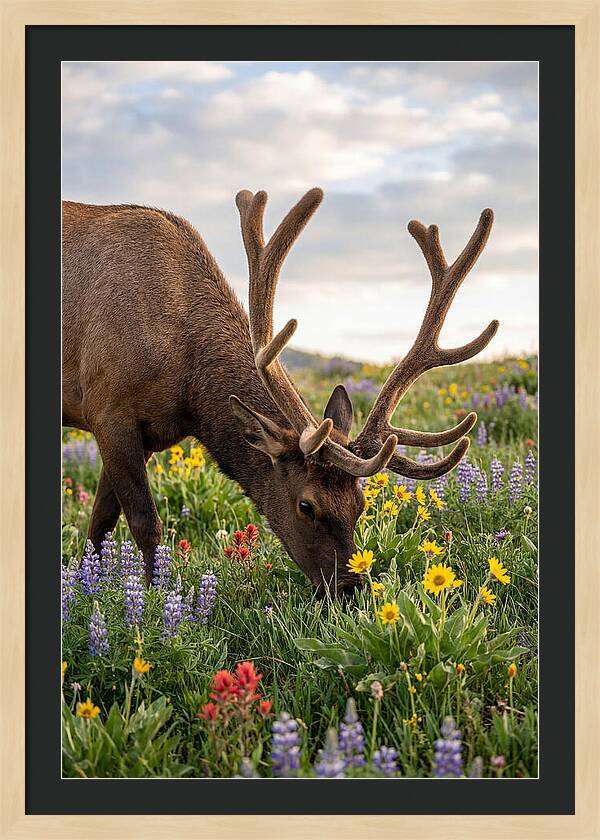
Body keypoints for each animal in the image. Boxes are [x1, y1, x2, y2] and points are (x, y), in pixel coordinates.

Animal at [62, 187, 498, 593]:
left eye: (360, 503)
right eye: (306, 505)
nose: (350, 589)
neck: (189, 389)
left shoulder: (148, 433)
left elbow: (100, 524)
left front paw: (88, 585)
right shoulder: (108, 407)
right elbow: (143, 523)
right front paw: (153, 597)